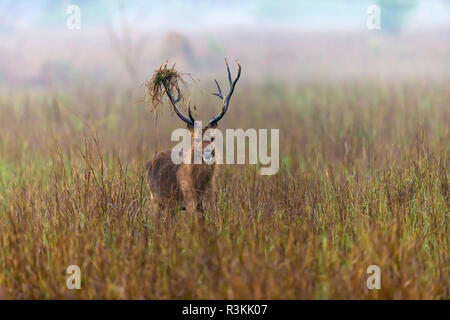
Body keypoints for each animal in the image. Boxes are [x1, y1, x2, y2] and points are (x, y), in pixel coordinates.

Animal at [146, 59, 241, 216]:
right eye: (196, 139)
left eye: (212, 138)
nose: (207, 153)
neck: (200, 185)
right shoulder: (189, 199)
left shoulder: (210, 200)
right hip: (156, 199)